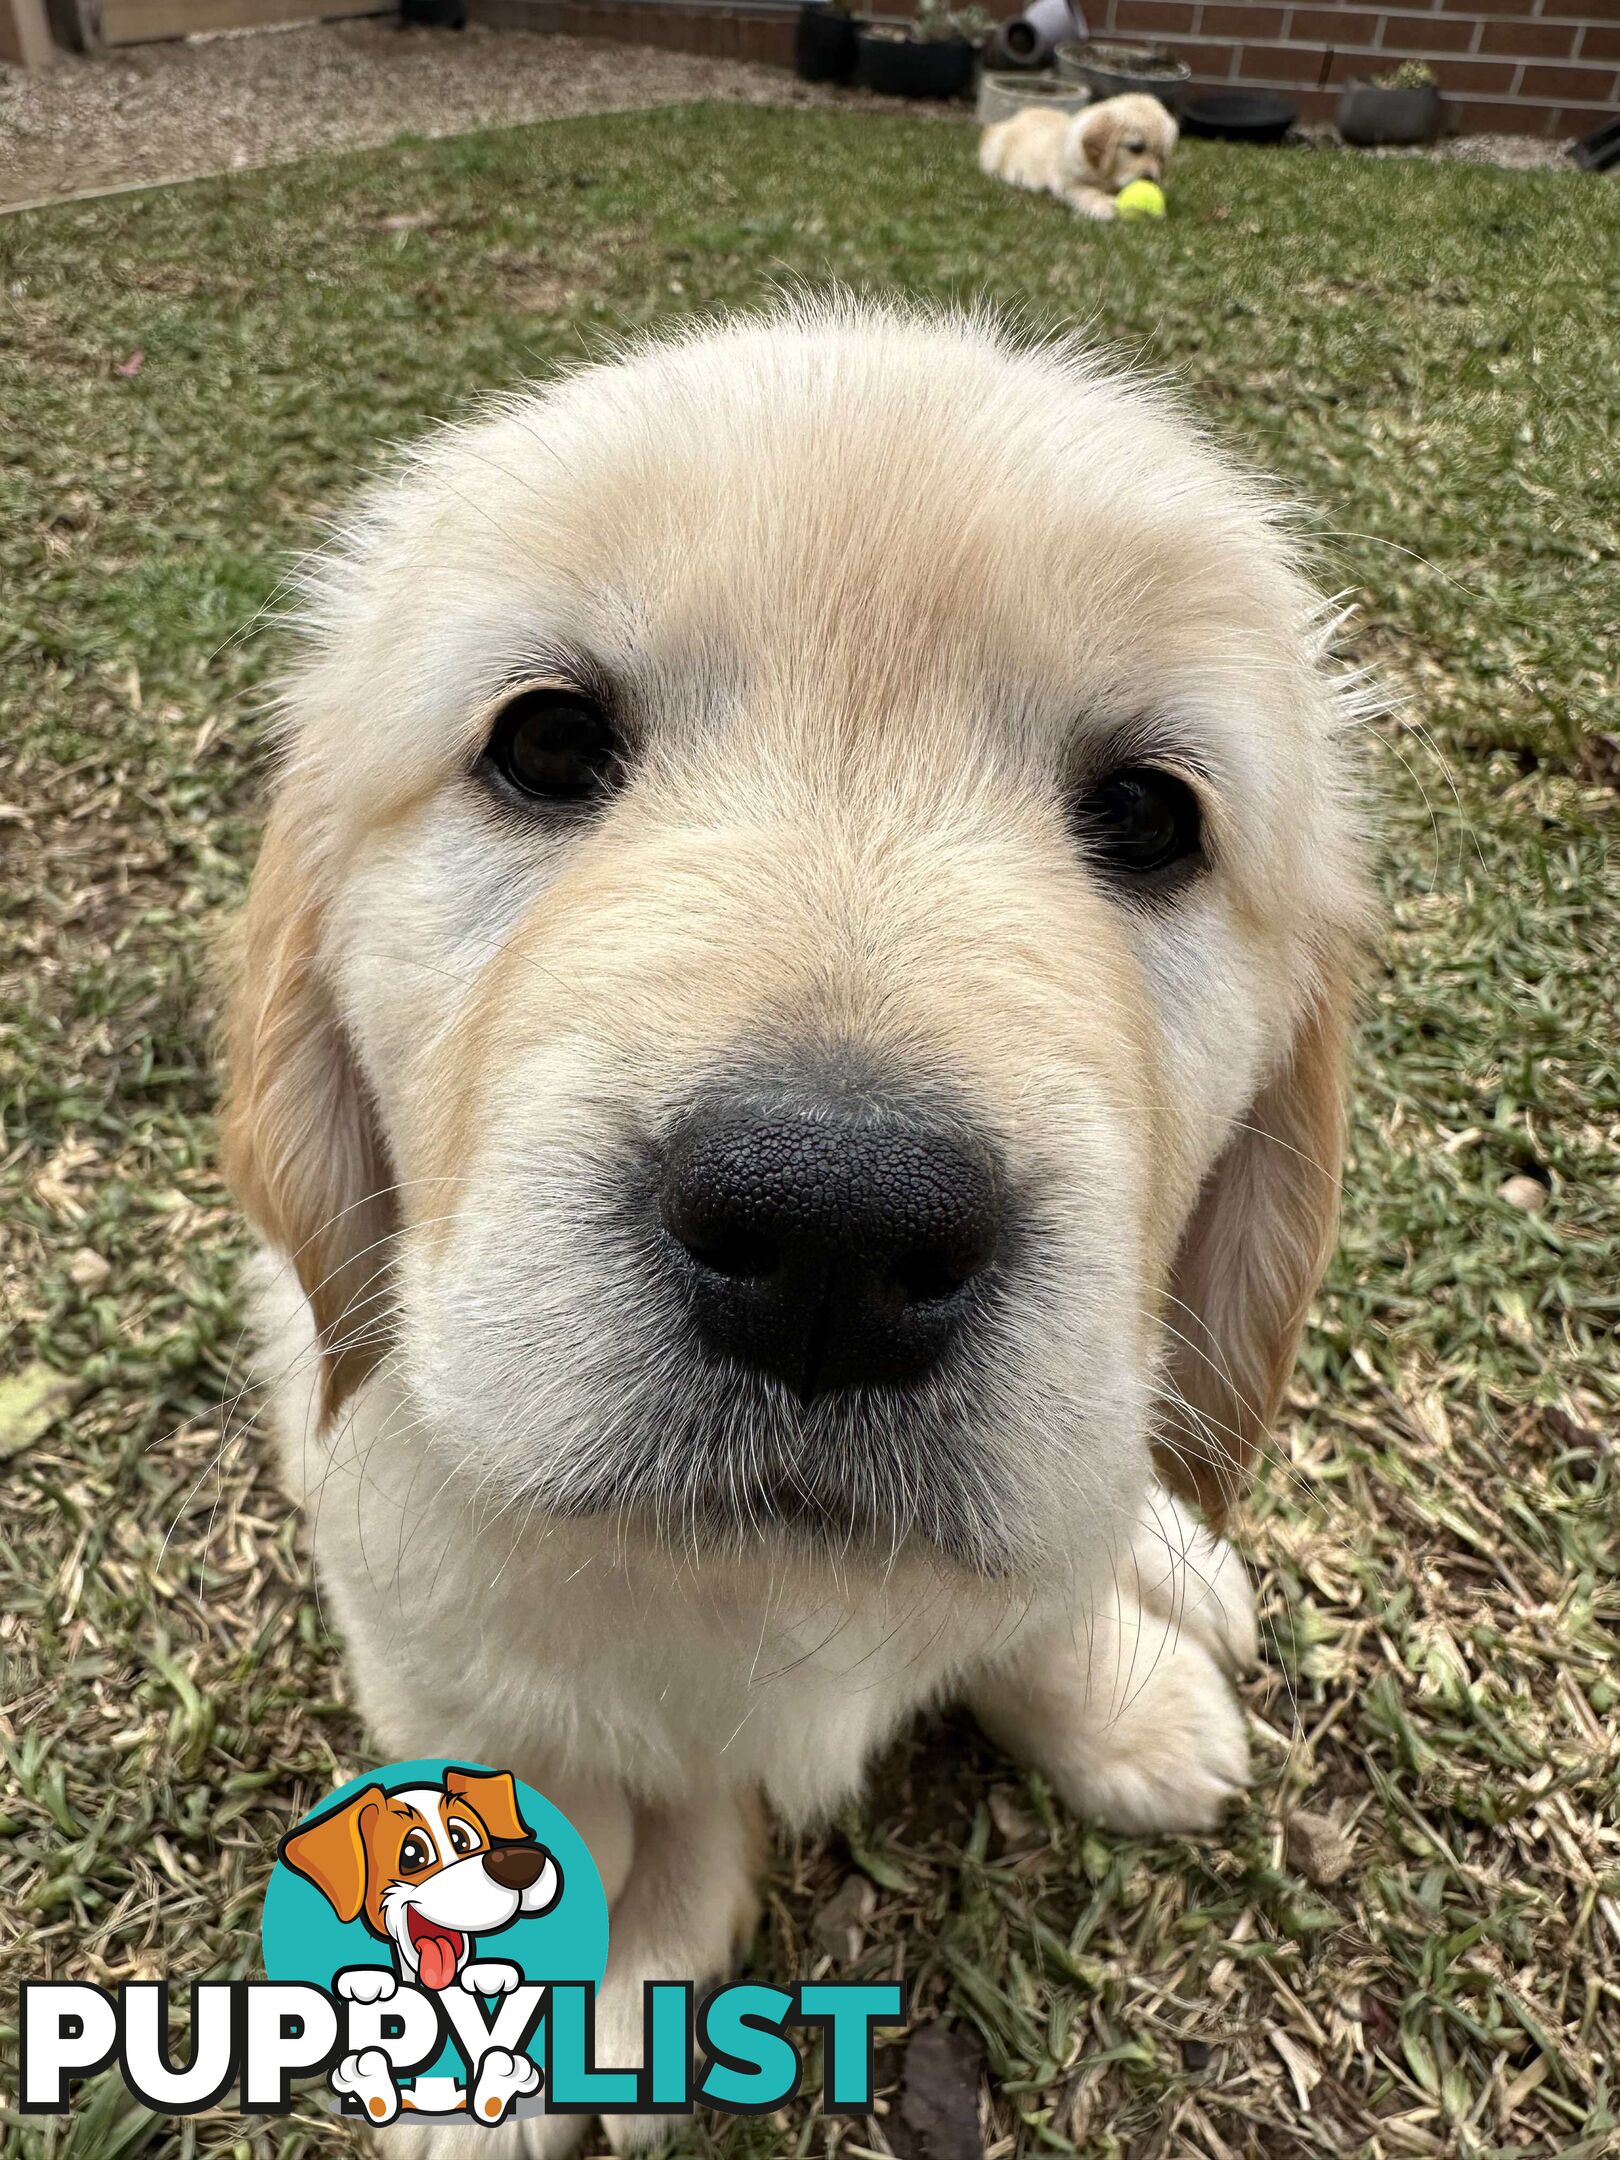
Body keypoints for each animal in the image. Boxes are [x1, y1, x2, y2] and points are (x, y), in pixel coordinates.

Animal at [225, 295, 1373, 2151]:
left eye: (1148, 814)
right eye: (547, 743)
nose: (838, 1237)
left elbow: (1032, 1603)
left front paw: (1114, 1706)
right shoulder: (429, 1635)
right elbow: (565, 1790)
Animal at [989, 90, 1183, 219]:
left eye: (1161, 157)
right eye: (1136, 148)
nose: (1151, 179)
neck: (1106, 176)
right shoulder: (1069, 182)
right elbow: (1085, 191)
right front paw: (1102, 205)